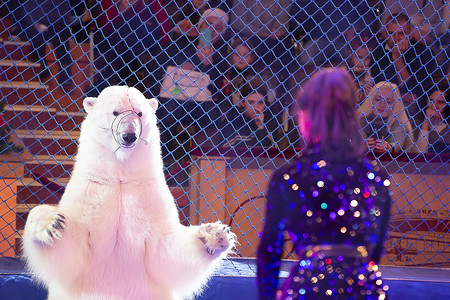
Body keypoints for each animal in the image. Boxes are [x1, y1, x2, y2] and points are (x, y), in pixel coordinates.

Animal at [22, 85, 236, 298]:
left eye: (140, 113)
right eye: (115, 112)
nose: (129, 135)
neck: (120, 178)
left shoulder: (148, 196)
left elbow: (166, 251)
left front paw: (215, 234)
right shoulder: (89, 193)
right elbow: (71, 252)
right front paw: (50, 222)